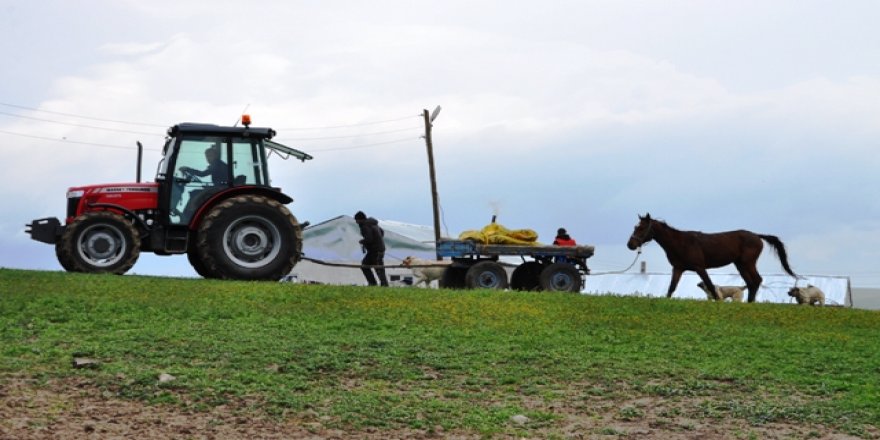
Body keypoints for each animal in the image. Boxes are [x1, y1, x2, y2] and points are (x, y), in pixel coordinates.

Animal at [624, 213, 796, 302]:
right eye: (635, 227)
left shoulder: (700, 268)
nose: (630, 244)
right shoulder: (678, 268)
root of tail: (757, 236)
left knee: (756, 280)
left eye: (641, 228)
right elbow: (671, 287)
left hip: (748, 263)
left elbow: (711, 286)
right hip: (740, 264)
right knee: (751, 283)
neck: (680, 243)